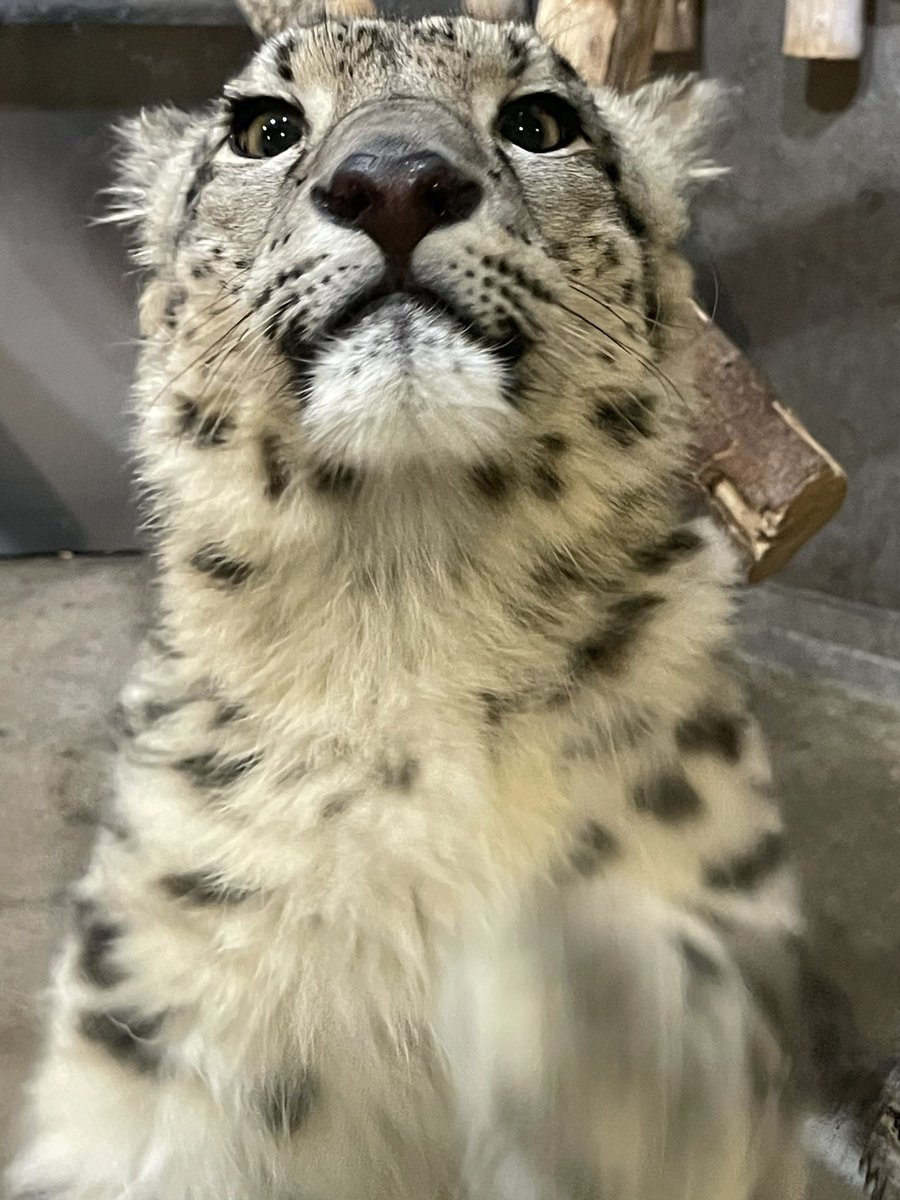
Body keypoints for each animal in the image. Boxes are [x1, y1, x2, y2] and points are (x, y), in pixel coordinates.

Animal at [8, 2, 825, 1200]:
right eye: (264, 126)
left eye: (541, 120)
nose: (395, 180)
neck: (410, 594)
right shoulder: (145, 1042)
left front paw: (593, 987)